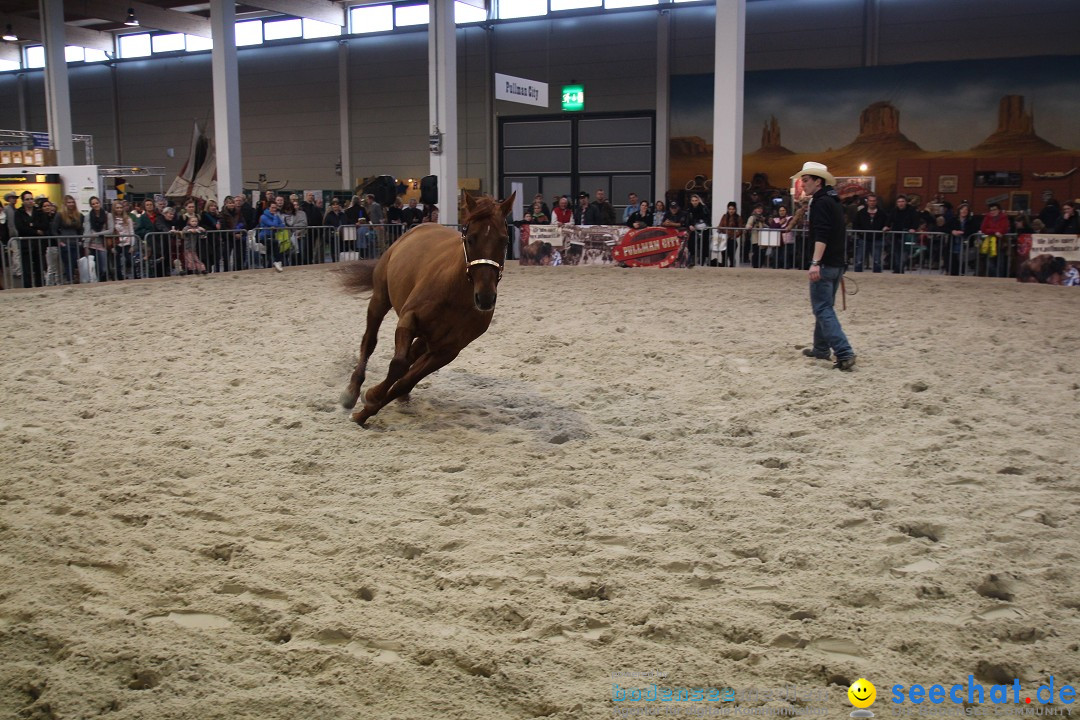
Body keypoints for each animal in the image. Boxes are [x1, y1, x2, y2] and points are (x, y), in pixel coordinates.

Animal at [341, 193, 518, 427]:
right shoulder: (408, 319)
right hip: (380, 299)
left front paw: (366, 411)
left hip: (428, 339)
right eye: (470, 238)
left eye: (504, 240)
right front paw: (371, 395)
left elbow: (405, 381)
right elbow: (398, 365)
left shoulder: (447, 351)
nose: (486, 298)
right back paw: (352, 391)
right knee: (370, 341)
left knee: (411, 357)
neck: (456, 294)